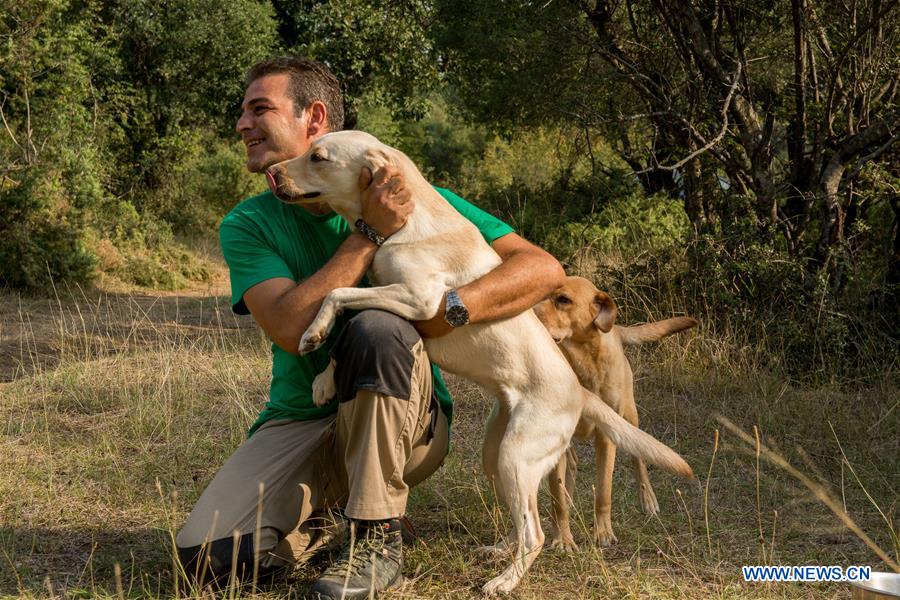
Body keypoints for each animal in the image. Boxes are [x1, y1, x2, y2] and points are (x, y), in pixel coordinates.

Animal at [536, 276, 696, 548]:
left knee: (638, 459)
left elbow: (603, 492)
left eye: (563, 300)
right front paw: (563, 539)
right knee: (572, 464)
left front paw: (603, 533)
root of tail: (617, 329)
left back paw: (648, 499)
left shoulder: (606, 436)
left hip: (630, 416)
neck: (583, 362)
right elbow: (557, 497)